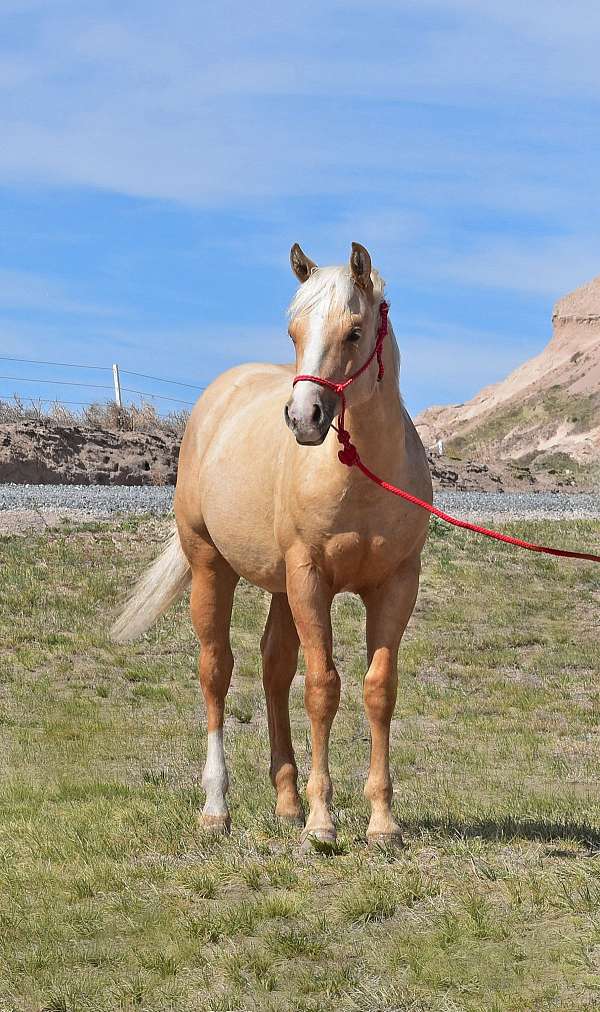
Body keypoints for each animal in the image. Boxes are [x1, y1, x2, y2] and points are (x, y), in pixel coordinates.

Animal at [112, 242, 432, 847]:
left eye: (355, 332)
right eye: (293, 332)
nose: (304, 418)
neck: (360, 477)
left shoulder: (396, 585)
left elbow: (379, 689)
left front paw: (381, 822)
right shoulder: (311, 579)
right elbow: (323, 688)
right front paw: (322, 823)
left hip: (282, 589)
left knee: (273, 668)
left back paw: (286, 802)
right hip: (212, 567)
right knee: (217, 671)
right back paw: (217, 808)